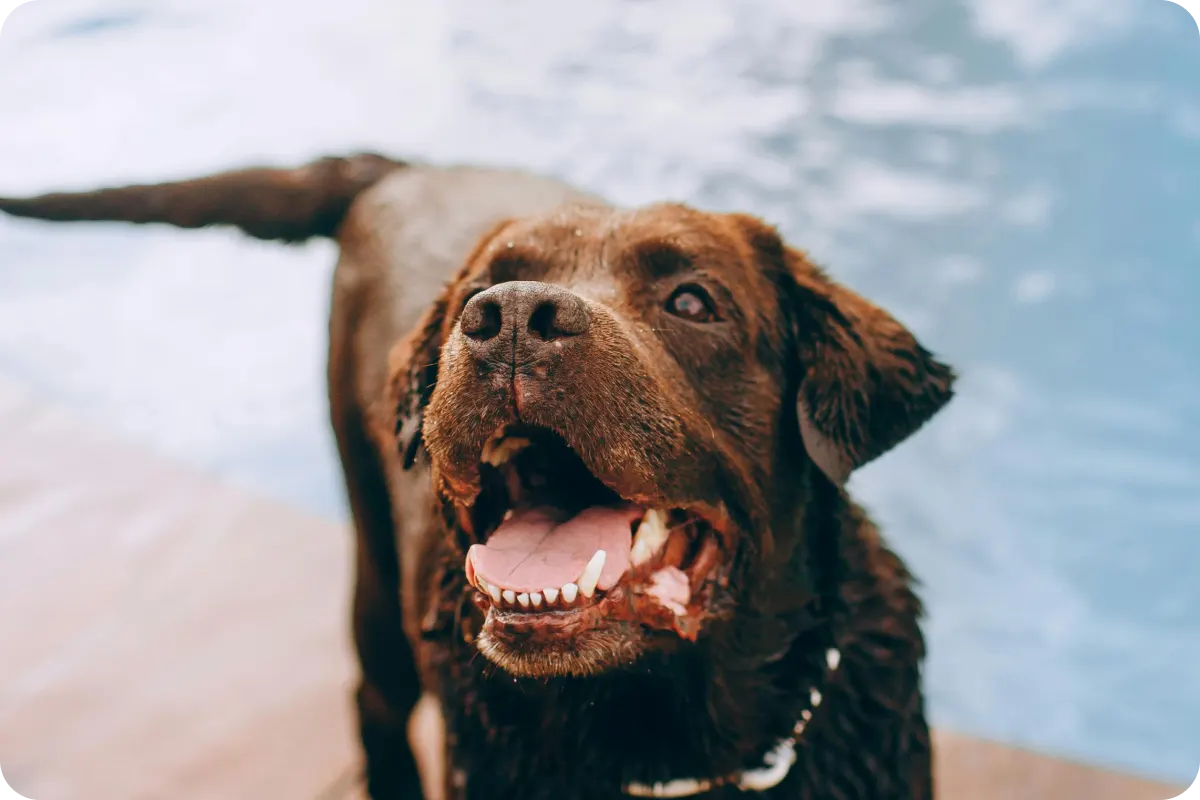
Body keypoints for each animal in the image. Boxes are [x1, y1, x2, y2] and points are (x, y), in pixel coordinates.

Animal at [0, 155, 955, 800]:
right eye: (484, 287)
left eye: (692, 300)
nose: (510, 318)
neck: (665, 752)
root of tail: (406, 165)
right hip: (373, 569)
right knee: (372, 698)